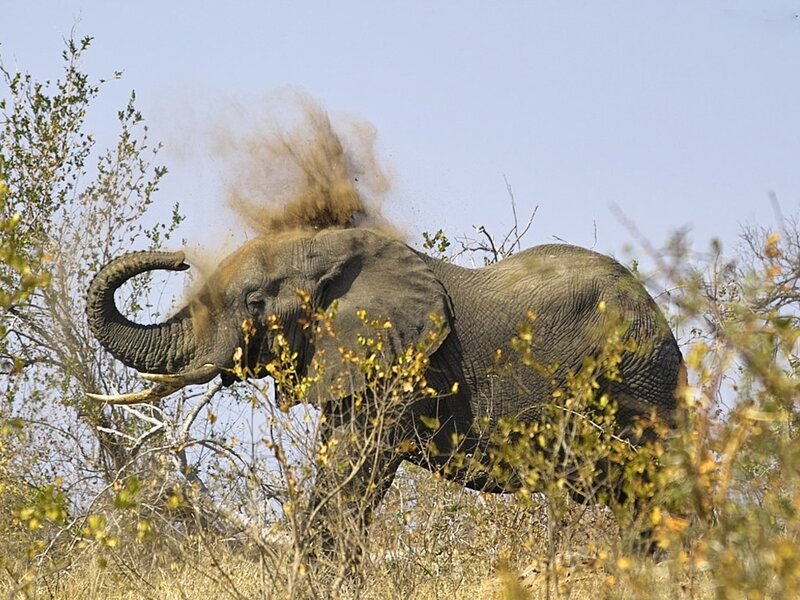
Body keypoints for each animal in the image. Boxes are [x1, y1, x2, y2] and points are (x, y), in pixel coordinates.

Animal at [86, 227, 684, 557]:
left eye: (254, 303)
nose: (179, 255)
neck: (329, 254)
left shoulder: (401, 365)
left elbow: (355, 465)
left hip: (638, 376)